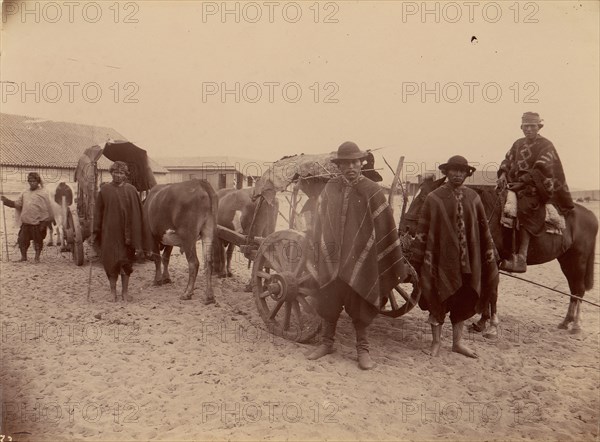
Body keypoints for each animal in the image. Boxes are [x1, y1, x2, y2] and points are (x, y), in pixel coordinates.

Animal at [400, 179, 596, 334]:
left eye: (423, 199)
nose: (404, 227)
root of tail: (591, 216)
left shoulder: (492, 259)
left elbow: (492, 292)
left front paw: (491, 325)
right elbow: (487, 291)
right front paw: (481, 323)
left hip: (578, 260)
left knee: (579, 290)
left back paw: (576, 325)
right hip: (566, 260)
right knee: (574, 291)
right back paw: (566, 321)